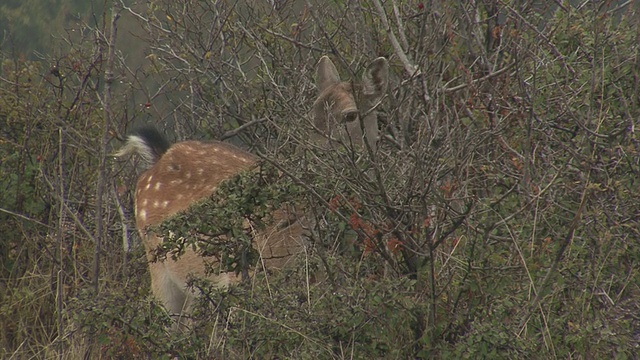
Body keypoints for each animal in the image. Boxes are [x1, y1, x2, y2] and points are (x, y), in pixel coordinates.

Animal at [116, 54, 390, 328]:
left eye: (350, 115)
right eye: (312, 114)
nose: (314, 155)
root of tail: (159, 157)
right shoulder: (246, 279)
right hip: (160, 271)